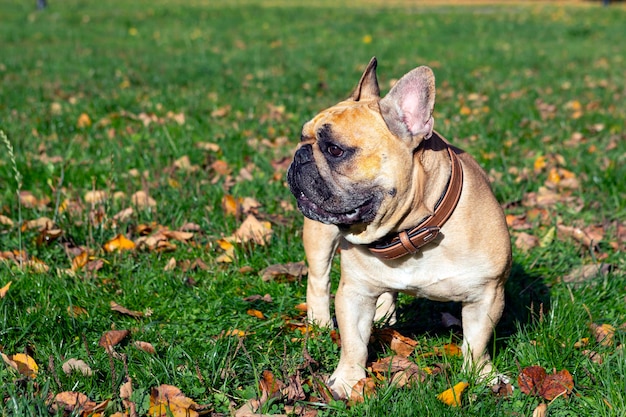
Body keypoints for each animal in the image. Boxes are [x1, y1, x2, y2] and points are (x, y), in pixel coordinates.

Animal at [286, 57, 510, 396]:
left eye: (335, 149)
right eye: (303, 137)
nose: (299, 155)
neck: (408, 231)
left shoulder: (487, 295)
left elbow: (477, 341)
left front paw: (481, 376)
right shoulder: (354, 293)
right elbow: (353, 342)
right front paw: (348, 380)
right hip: (319, 236)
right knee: (318, 279)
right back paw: (320, 323)